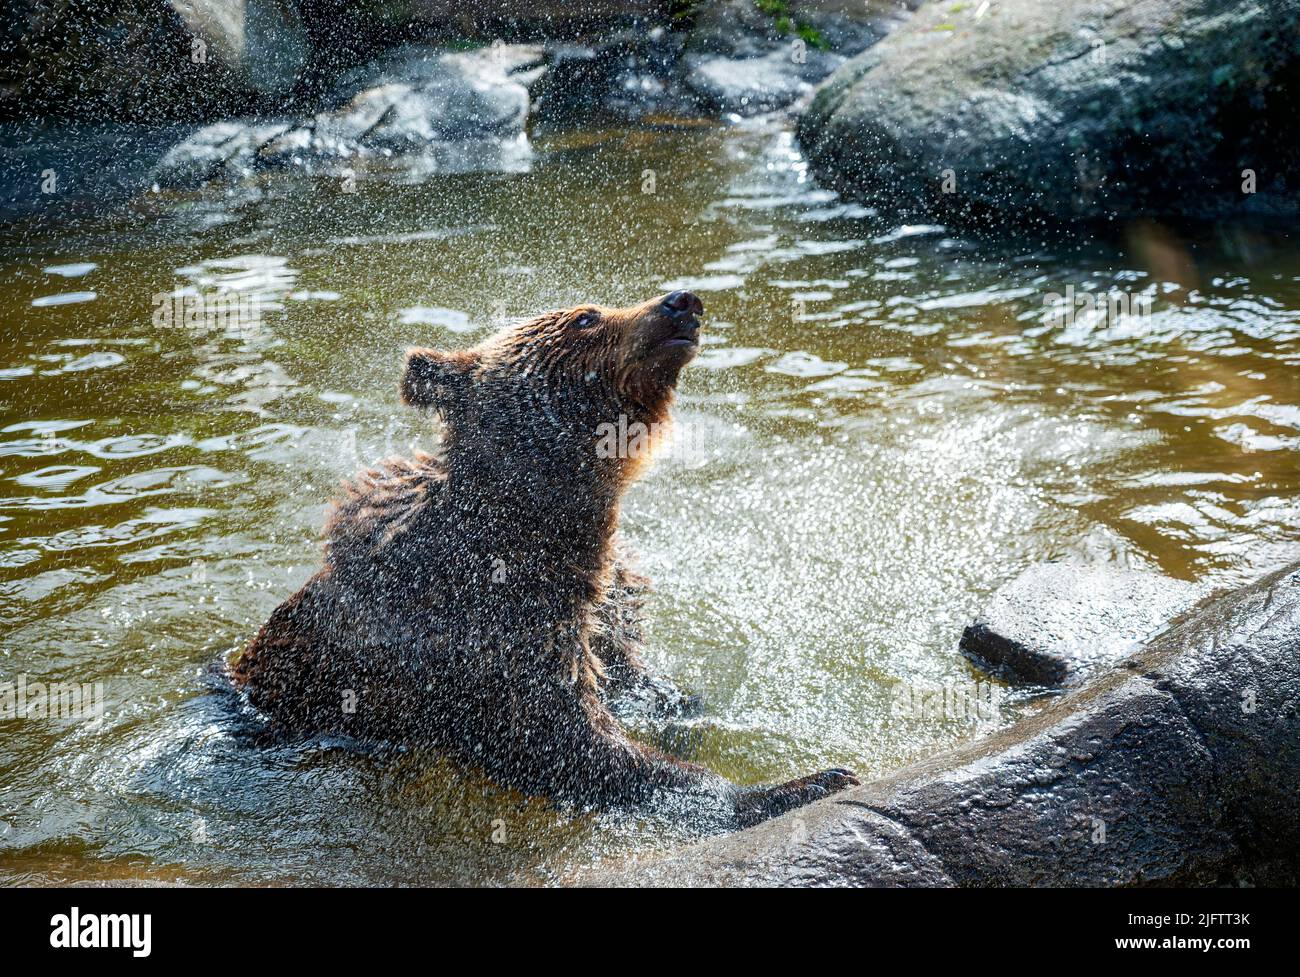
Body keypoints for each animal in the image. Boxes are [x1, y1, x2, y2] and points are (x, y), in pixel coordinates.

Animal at [231, 288, 863, 826]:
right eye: (586, 316)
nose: (683, 301)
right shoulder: (491, 623)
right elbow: (567, 741)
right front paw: (800, 783)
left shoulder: (601, 601)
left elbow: (634, 675)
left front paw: (687, 708)